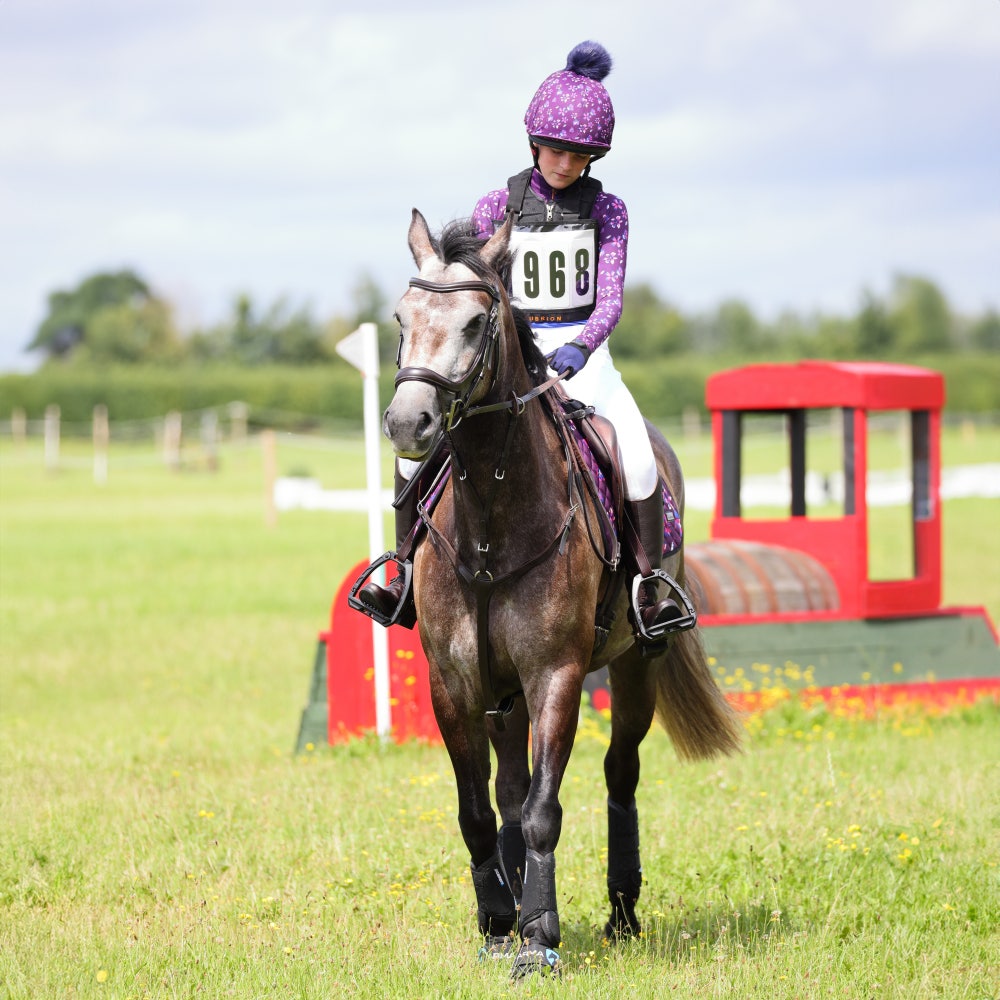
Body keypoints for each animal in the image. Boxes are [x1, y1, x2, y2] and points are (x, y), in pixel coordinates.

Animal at [378, 209, 740, 976]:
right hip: (502, 692)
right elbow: (480, 809)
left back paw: (621, 913)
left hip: (635, 665)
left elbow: (548, 807)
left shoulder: (555, 675)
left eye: (477, 323)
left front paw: (539, 938)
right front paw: (497, 924)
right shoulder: (455, 681)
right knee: (510, 792)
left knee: (619, 773)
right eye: (401, 317)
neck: (491, 513)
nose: (407, 424)